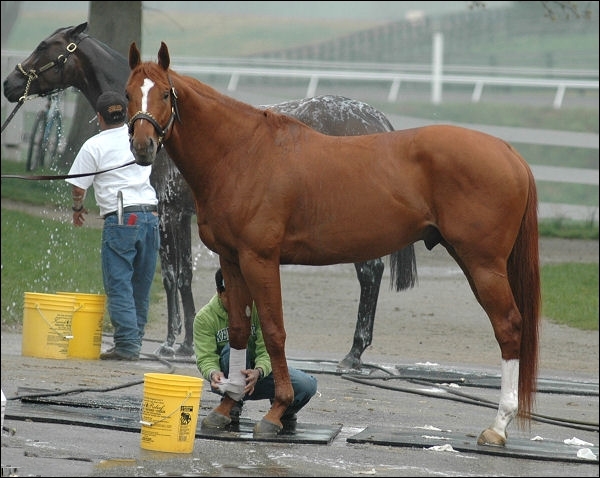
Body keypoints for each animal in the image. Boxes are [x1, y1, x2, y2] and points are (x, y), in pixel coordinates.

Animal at [3, 23, 418, 370]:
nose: (10, 84)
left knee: (369, 273)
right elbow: (182, 274)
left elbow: (175, 274)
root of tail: (375, 119)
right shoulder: (181, 215)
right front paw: (184, 342)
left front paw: (173, 344)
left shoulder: (169, 212)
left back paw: (354, 353)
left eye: (46, 47)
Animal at [129, 40, 540, 444]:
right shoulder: (232, 260)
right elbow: (240, 330)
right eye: (130, 94)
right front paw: (227, 407)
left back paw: (498, 426)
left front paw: (276, 411)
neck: (242, 153)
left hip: (483, 265)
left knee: (508, 326)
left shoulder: (260, 259)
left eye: (164, 93)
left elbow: (274, 332)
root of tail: (509, 152)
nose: (142, 146)